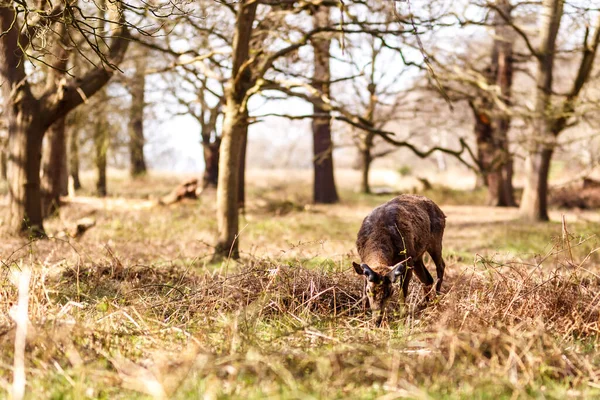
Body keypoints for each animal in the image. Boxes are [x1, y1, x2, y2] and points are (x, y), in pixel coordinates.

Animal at [352, 194, 446, 324]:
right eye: (369, 290)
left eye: (390, 292)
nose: (377, 320)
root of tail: (441, 211)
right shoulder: (364, 262)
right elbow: (364, 296)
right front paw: (361, 317)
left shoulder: (407, 262)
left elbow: (402, 292)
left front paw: (402, 316)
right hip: (417, 257)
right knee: (427, 279)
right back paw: (424, 305)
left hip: (435, 241)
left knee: (441, 266)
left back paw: (436, 298)